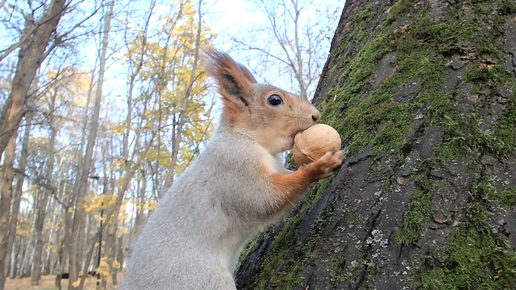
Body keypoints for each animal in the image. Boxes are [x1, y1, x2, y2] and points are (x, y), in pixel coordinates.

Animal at [122, 50, 342, 290]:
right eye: (275, 100)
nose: (315, 115)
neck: (250, 140)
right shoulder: (234, 165)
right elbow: (265, 198)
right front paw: (317, 167)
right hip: (203, 280)